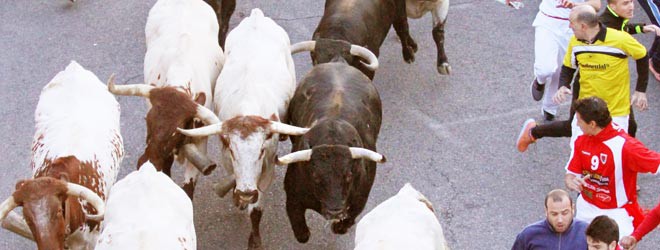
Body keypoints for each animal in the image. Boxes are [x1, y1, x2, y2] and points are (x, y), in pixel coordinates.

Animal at [178, 8, 312, 249]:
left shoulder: (268, 169)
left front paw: (254, 239)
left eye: (261, 151)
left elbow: (256, 210)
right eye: (232, 151)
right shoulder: (227, 161)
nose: (246, 192)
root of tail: (256, 16)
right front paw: (238, 198)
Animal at [274, 40, 384, 243]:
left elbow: (347, 221)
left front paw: (338, 226)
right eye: (316, 177)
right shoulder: (293, 198)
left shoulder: (359, 201)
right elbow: (301, 232)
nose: (335, 211)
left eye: (348, 175)